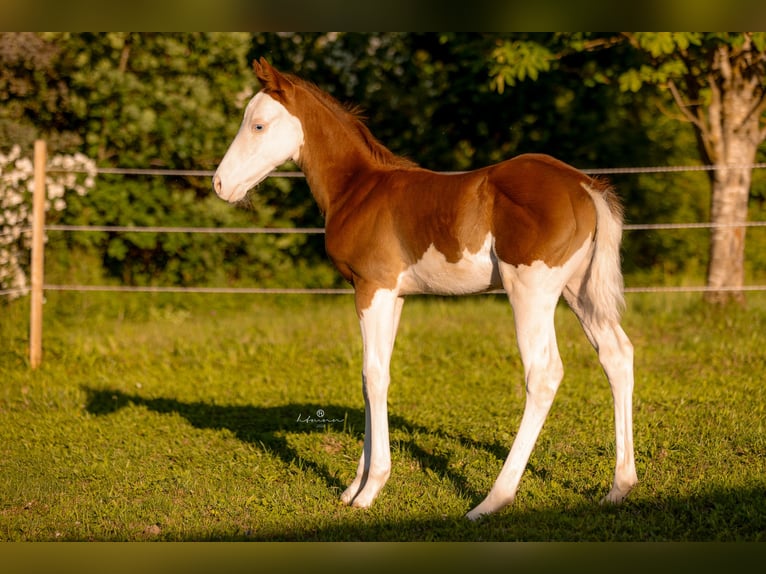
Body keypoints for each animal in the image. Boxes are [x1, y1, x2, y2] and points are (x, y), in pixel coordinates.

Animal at [213, 58, 637, 520]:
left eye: (257, 125)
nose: (220, 184)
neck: (358, 188)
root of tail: (586, 187)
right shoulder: (392, 296)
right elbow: (373, 375)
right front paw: (354, 485)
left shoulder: (372, 289)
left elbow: (374, 375)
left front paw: (370, 489)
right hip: (578, 291)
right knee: (617, 355)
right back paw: (620, 486)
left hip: (530, 290)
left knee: (543, 374)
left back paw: (492, 499)